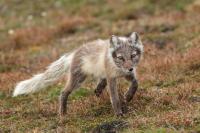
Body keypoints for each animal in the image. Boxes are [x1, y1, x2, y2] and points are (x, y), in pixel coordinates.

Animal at [12, 32, 144, 116]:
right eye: (121, 58)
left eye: (133, 55)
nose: (130, 68)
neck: (118, 69)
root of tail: (75, 52)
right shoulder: (112, 78)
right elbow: (114, 98)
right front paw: (118, 113)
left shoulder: (127, 74)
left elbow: (135, 83)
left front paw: (128, 96)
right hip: (77, 80)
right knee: (63, 93)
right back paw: (63, 113)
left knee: (101, 80)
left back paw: (98, 89)